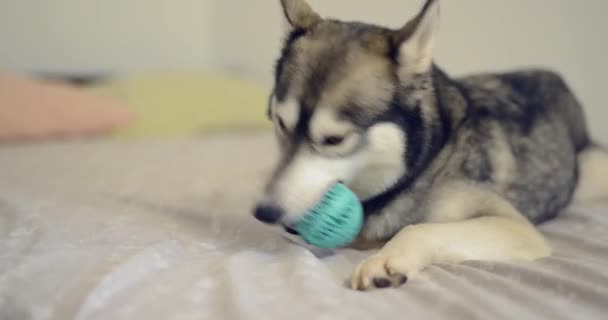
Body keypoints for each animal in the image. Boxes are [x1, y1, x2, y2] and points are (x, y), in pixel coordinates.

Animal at [252, 0, 608, 290]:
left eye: (334, 140)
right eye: (279, 123)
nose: (263, 212)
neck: (421, 165)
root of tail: (555, 78)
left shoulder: (515, 227)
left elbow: (419, 229)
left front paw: (388, 260)